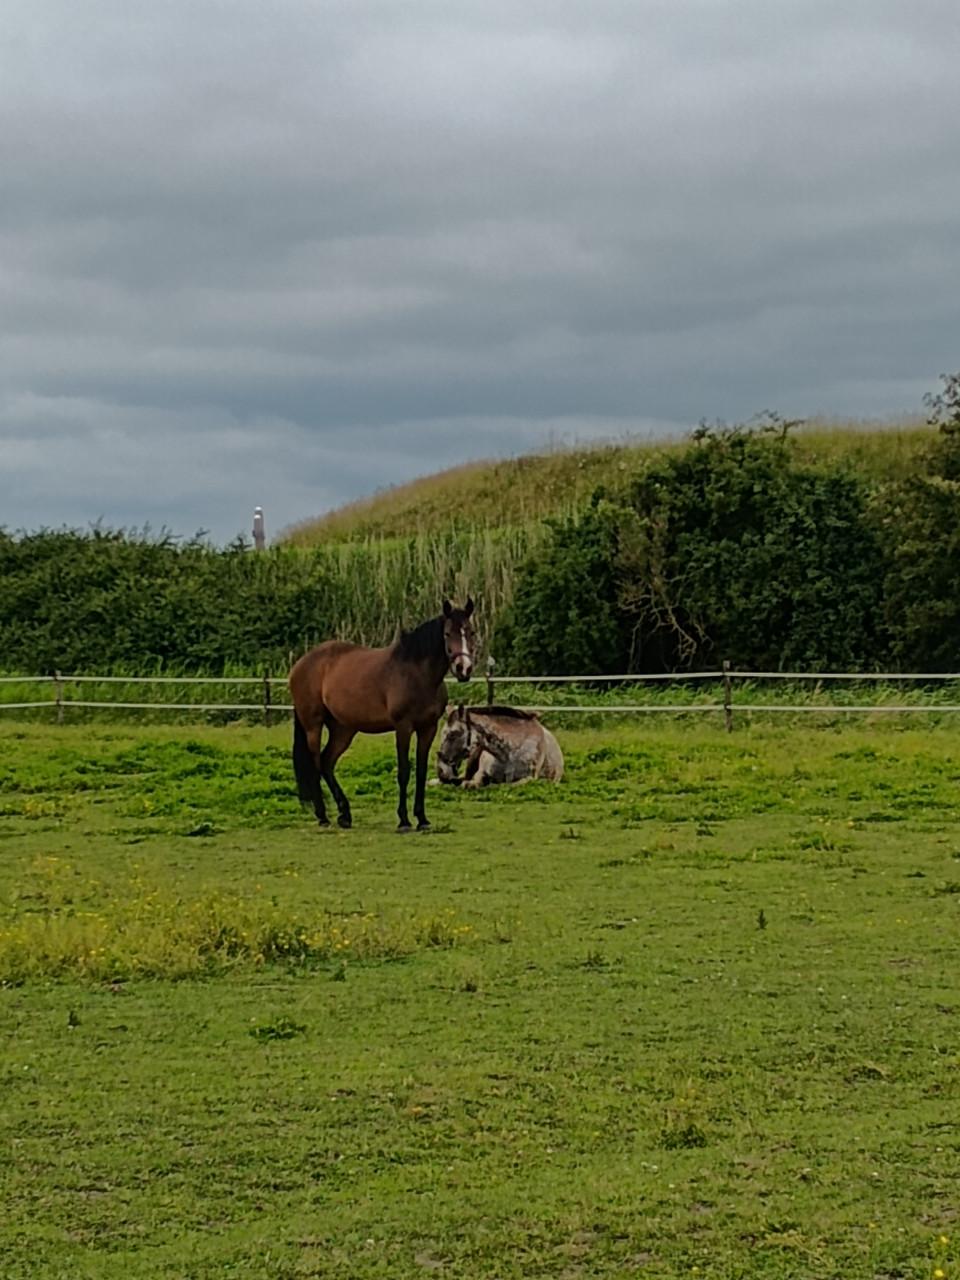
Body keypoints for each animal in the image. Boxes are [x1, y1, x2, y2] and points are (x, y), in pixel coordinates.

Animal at [288, 598, 476, 831]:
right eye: (447, 633)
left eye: (471, 632)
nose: (463, 669)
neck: (417, 674)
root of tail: (300, 664)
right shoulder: (403, 727)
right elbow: (404, 771)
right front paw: (404, 820)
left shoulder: (428, 728)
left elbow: (421, 771)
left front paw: (422, 819)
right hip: (313, 726)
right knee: (315, 763)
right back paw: (323, 816)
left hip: (343, 730)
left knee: (326, 762)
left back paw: (345, 815)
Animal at [436, 704, 564, 788]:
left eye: (453, 734)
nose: (442, 772)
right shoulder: (481, 772)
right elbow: (470, 783)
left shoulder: (529, 778)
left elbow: (506, 785)